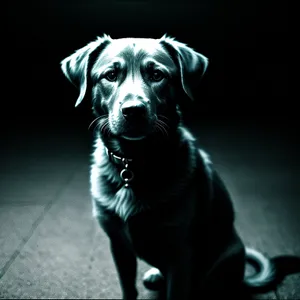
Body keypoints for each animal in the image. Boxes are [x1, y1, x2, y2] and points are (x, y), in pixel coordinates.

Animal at [59, 34, 298, 298]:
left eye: (157, 75)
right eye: (110, 75)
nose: (133, 111)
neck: (134, 162)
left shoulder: (179, 255)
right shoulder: (119, 247)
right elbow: (128, 288)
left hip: (225, 260)